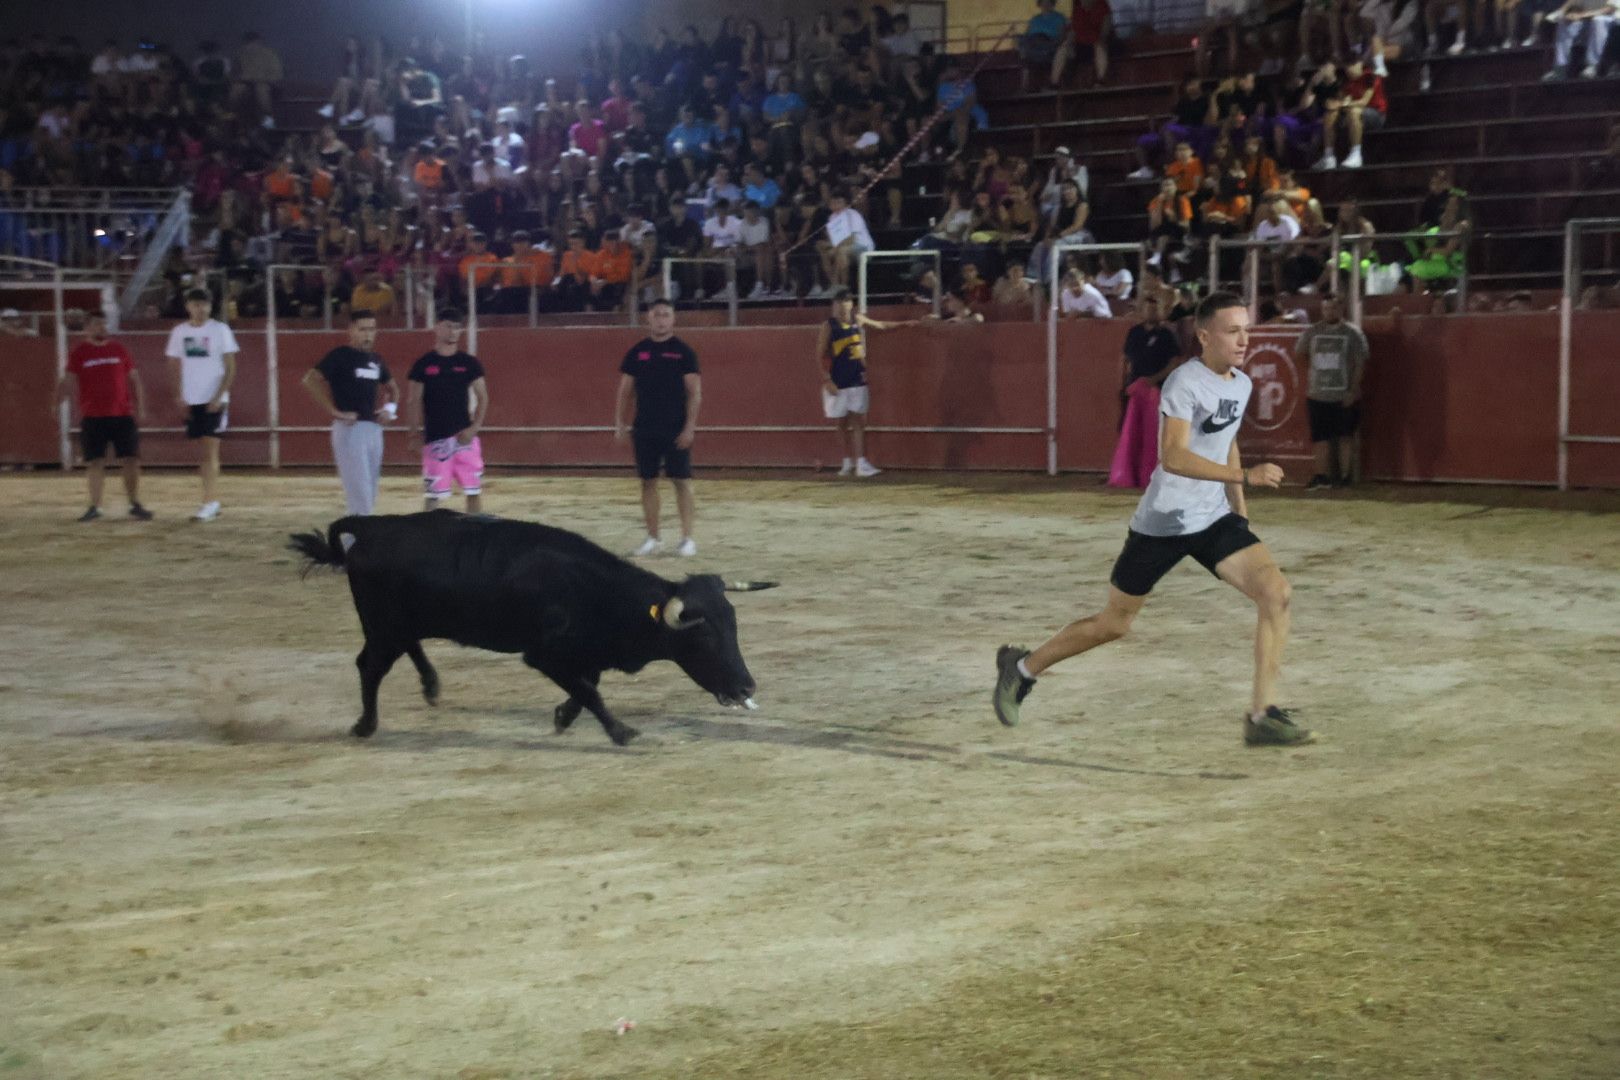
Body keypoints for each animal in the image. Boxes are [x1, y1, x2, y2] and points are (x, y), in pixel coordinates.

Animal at [291, 514, 777, 748]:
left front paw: (563, 716)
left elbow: (586, 686)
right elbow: (590, 691)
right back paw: (365, 725)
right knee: (370, 667)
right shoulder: (542, 655)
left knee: (403, 651)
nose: (746, 686)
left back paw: (430, 686)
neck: (597, 590)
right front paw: (621, 732)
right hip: (382, 625)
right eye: (703, 636)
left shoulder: (584, 653)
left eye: (734, 626)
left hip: (402, 623)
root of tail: (372, 527)